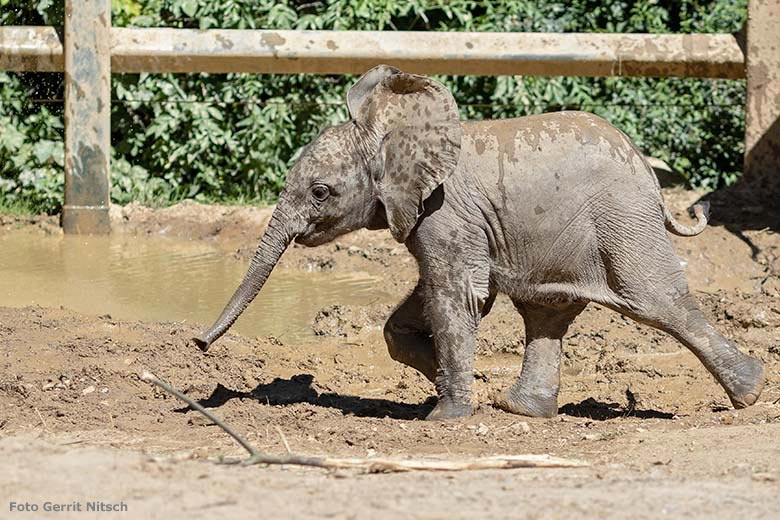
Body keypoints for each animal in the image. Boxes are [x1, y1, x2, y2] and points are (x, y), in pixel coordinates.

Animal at [192, 66, 764, 422]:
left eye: (319, 192)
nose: (197, 343)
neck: (392, 135)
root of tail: (647, 169)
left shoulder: (444, 214)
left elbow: (456, 297)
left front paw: (444, 415)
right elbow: (422, 310)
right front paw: (447, 381)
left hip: (623, 220)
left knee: (656, 299)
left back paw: (751, 391)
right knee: (546, 312)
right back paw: (520, 410)